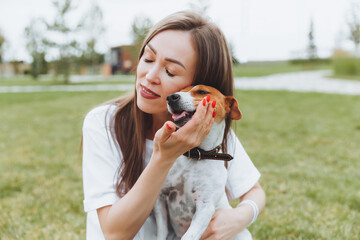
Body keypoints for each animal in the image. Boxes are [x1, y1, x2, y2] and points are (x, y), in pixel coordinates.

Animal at [153, 85, 252, 240]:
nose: (170, 97)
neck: (195, 155)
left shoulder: (205, 206)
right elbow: (161, 231)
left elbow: (189, 236)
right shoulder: (161, 198)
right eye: (181, 89)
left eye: (202, 92)